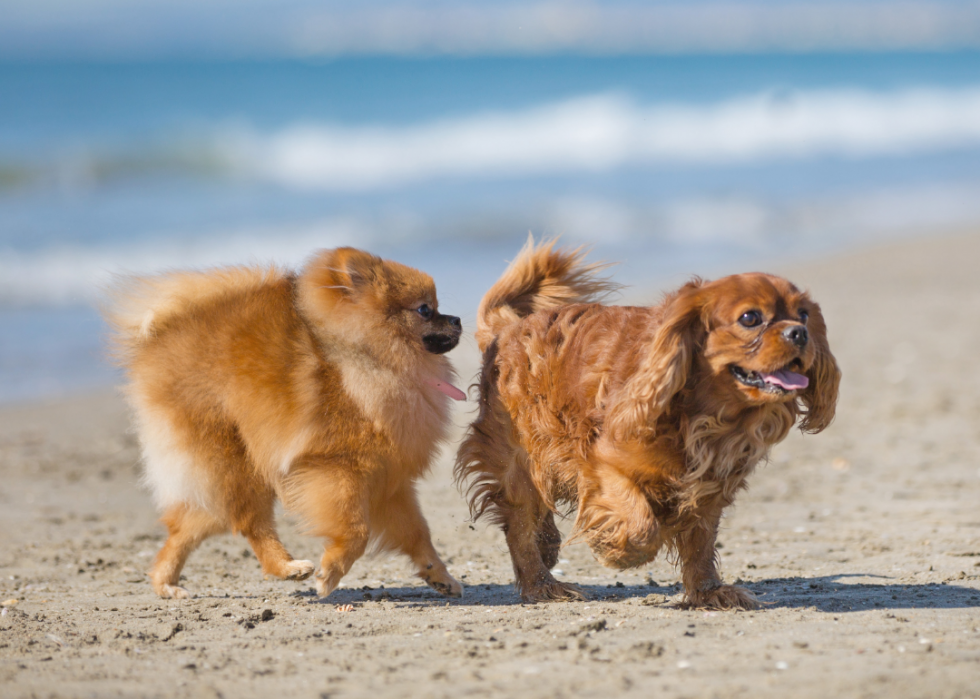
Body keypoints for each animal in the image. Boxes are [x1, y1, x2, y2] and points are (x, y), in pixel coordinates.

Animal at [105, 249, 466, 600]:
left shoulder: (390, 479)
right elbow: (356, 530)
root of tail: (161, 337)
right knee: (250, 523)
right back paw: (288, 567)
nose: (458, 318)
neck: (369, 359)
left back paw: (165, 583)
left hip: (221, 477)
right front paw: (330, 573)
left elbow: (418, 533)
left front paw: (441, 576)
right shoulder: (337, 469)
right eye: (425, 309)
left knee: (190, 527)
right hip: (238, 464)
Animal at [456, 239, 840, 608]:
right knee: (519, 524)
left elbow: (701, 543)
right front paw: (617, 550)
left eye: (804, 314)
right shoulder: (603, 463)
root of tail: (507, 327)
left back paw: (549, 545)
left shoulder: (711, 487)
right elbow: (643, 527)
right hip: (517, 459)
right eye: (750, 318)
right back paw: (542, 585)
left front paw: (708, 592)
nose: (799, 333)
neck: (708, 414)